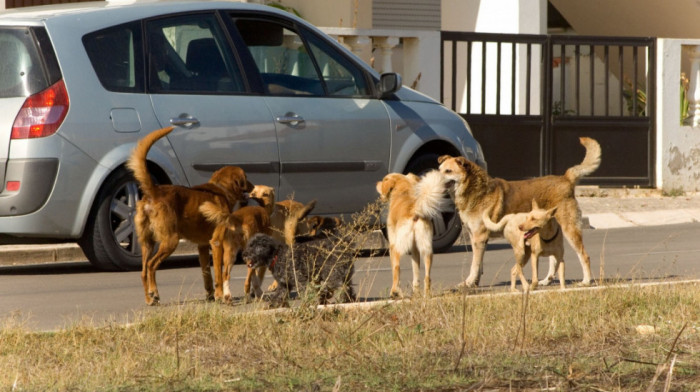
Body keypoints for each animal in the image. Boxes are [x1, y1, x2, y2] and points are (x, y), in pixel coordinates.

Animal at [128, 127, 254, 304]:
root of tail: (154, 192)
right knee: (152, 265)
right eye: (246, 179)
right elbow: (219, 274)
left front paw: (211, 295)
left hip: (147, 243)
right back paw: (155, 292)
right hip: (170, 240)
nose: (254, 187)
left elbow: (207, 274)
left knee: (144, 271)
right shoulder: (216, 243)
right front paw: (220, 295)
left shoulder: (202, 246)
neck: (220, 189)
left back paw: (149, 299)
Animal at [378, 169, 448, 298]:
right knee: (427, 276)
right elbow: (416, 272)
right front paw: (416, 292)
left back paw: (394, 292)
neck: (403, 190)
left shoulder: (392, 246)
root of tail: (414, 211)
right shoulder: (415, 250)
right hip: (427, 250)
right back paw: (425, 294)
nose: (377, 183)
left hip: (398, 247)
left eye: (384, 180)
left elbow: (394, 269)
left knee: (397, 269)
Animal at [440, 137, 600, 288]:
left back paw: (586, 281)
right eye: (439, 169)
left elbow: (475, 264)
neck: (474, 189)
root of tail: (565, 178)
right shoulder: (476, 237)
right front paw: (474, 282)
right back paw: (546, 280)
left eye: (448, 171)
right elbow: (479, 264)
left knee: (584, 256)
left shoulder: (479, 237)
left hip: (570, 229)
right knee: (554, 258)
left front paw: (468, 282)